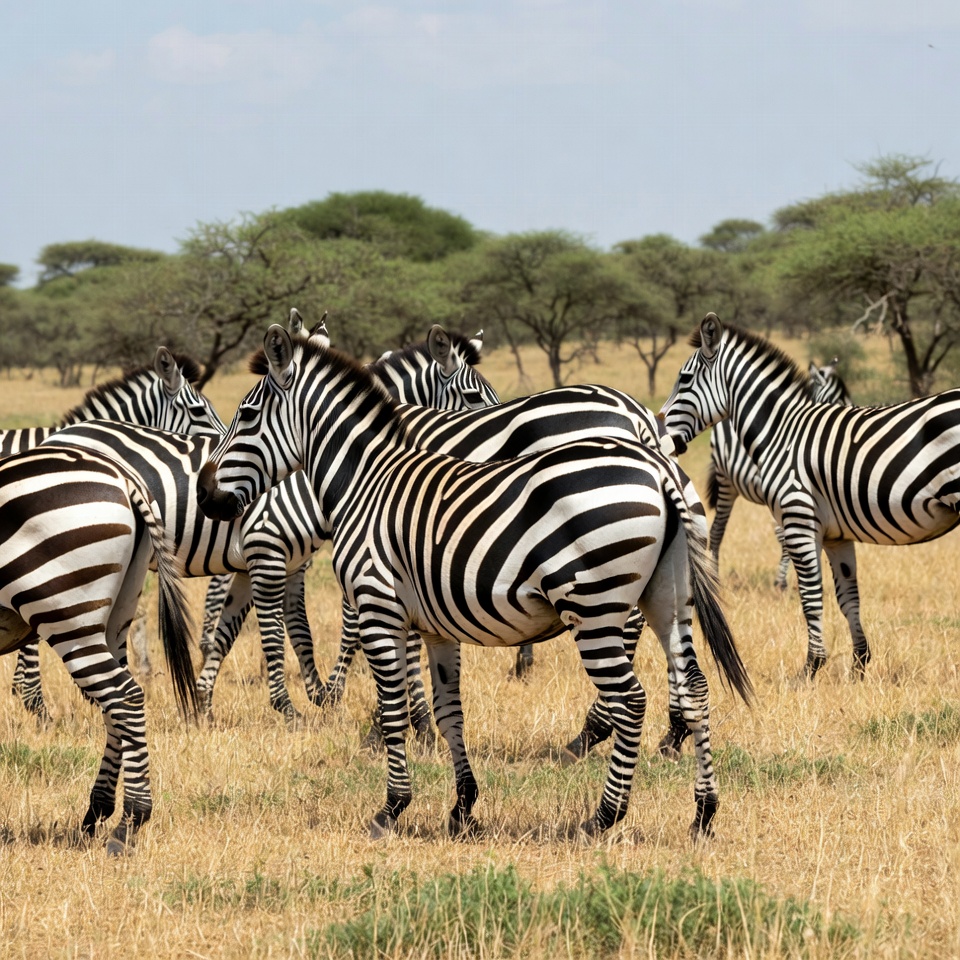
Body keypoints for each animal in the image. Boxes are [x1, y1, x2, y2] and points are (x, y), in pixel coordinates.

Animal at [0, 444, 198, 853]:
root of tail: (122, 476)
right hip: (115, 614)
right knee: (115, 704)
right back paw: (98, 811)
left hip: (64, 611)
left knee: (124, 697)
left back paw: (130, 822)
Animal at [197, 326, 753, 840]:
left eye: (247, 415)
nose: (204, 495)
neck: (367, 481)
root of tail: (657, 465)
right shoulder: (434, 625)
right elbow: (450, 713)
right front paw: (463, 808)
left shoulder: (379, 606)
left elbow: (394, 709)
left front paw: (391, 808)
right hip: (668, 599)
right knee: (695, 687)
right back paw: (703, 813)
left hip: (595, 606)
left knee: (631, 700)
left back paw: (602, 816)